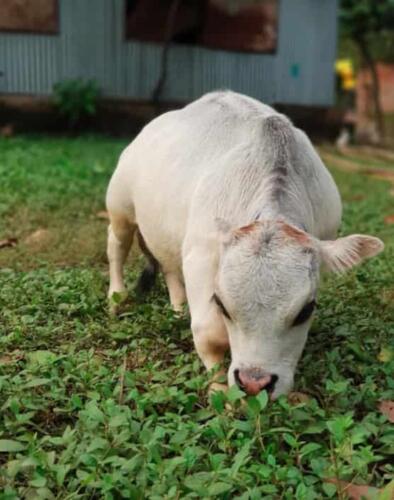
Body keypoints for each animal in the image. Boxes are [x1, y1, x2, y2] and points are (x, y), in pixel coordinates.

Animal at [106, 91, 384, 398]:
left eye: (306, 310)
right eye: (222, 304)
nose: (254, 382)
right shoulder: (201, 257)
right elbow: (209, 333)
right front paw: (219, 391)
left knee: (168, 265)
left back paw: (178, 308)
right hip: (120, 208)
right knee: (117, 245)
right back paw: (116, 298)